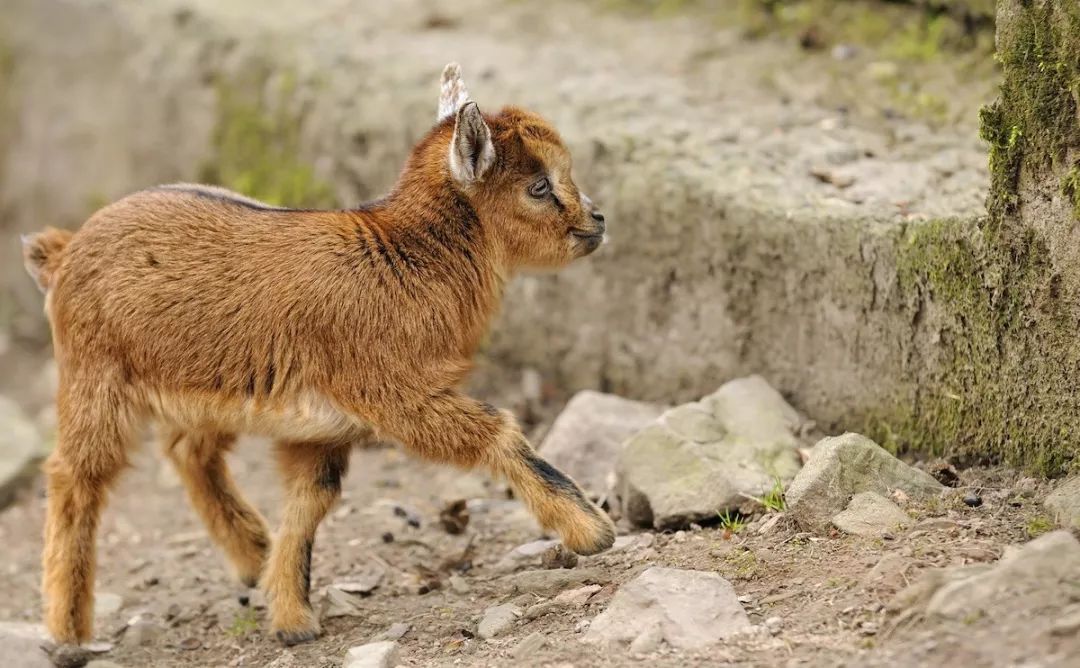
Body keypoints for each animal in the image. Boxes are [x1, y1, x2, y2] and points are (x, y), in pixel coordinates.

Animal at [23, 63, 617, 647]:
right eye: (538, 185)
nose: (597, 220)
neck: (407, 259)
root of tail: (62, 252)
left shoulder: (320, 428)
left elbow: (310, 501)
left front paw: (291, 617)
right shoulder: (395, 393)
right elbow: (497, 429)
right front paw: (592, 532)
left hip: (204, 383)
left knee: (187, 449)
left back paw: (253, 555)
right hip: (93, 377)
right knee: (73, 476)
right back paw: (68, 631)